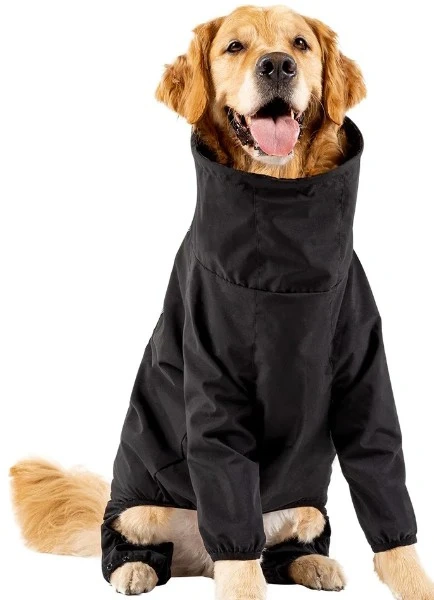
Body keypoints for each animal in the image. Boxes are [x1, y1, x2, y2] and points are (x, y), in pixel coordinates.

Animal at [10, 5, 434, 600]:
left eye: (300, 44)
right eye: (234, 47)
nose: (277, 66)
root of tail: (199, 557)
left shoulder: (364, 377)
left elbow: (384, 480)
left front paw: (416, 584)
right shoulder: (213, 387)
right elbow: (237, 538)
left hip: (308, 507)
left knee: (276, 549)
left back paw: (311, 562)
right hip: (140, 508)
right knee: (140, 543)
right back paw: (136, 567)